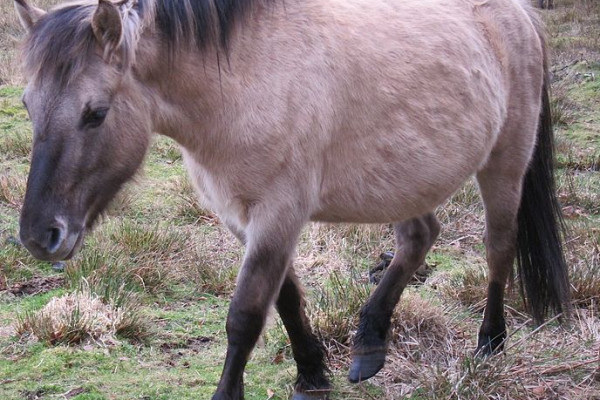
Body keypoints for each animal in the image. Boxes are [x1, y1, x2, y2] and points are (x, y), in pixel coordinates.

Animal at [12, 0, 568, 398]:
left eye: (95, 114)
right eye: (28, 106)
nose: (41, 236)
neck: (246, 78)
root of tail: (520, 12)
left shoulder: (279, 213)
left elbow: (245, 316)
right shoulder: (243, 218)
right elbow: (286, 298)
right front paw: (313, 374)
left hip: (504, 164)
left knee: (499, 248)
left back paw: (490, 343)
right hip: (409, 177)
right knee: (419, 237)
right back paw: (369, 343)